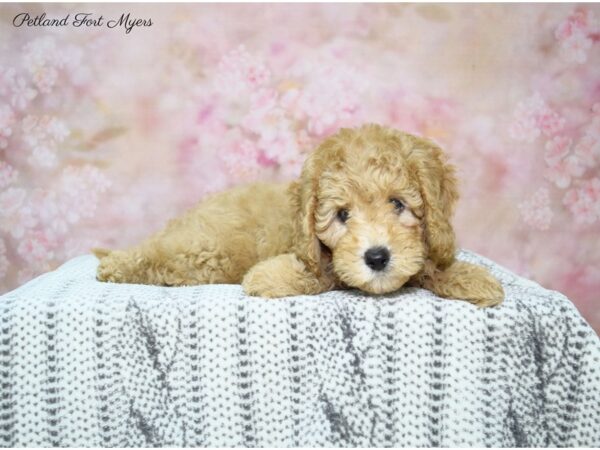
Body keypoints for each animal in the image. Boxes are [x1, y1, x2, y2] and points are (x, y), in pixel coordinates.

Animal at [96, 123, 504, 306]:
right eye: (342, 215)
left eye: (398, 204)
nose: (376, 257)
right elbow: (318, 273)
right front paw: (271, 277)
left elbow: (430, 265)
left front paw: (470, 278)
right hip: (204, 250)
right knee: (158, 256)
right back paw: (114, 264)